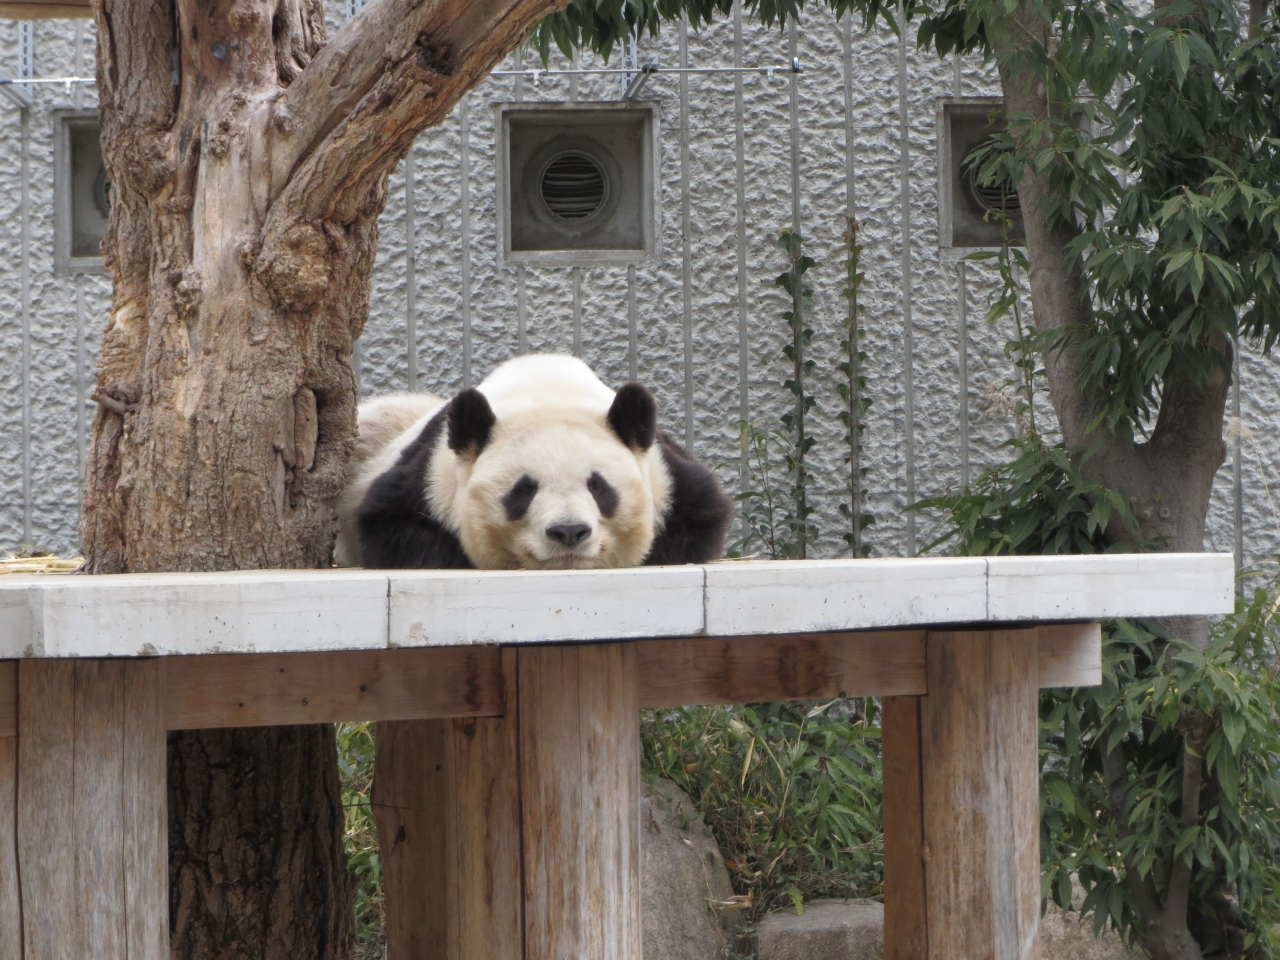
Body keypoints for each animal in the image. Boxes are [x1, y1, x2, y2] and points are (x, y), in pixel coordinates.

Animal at [332, 355, 732, 570]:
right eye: (523, 490)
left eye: (598, 486)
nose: (569, 532)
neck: (547, 388)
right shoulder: (429, 472)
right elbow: (389, 525)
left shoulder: (665, 472)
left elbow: (703, 514)